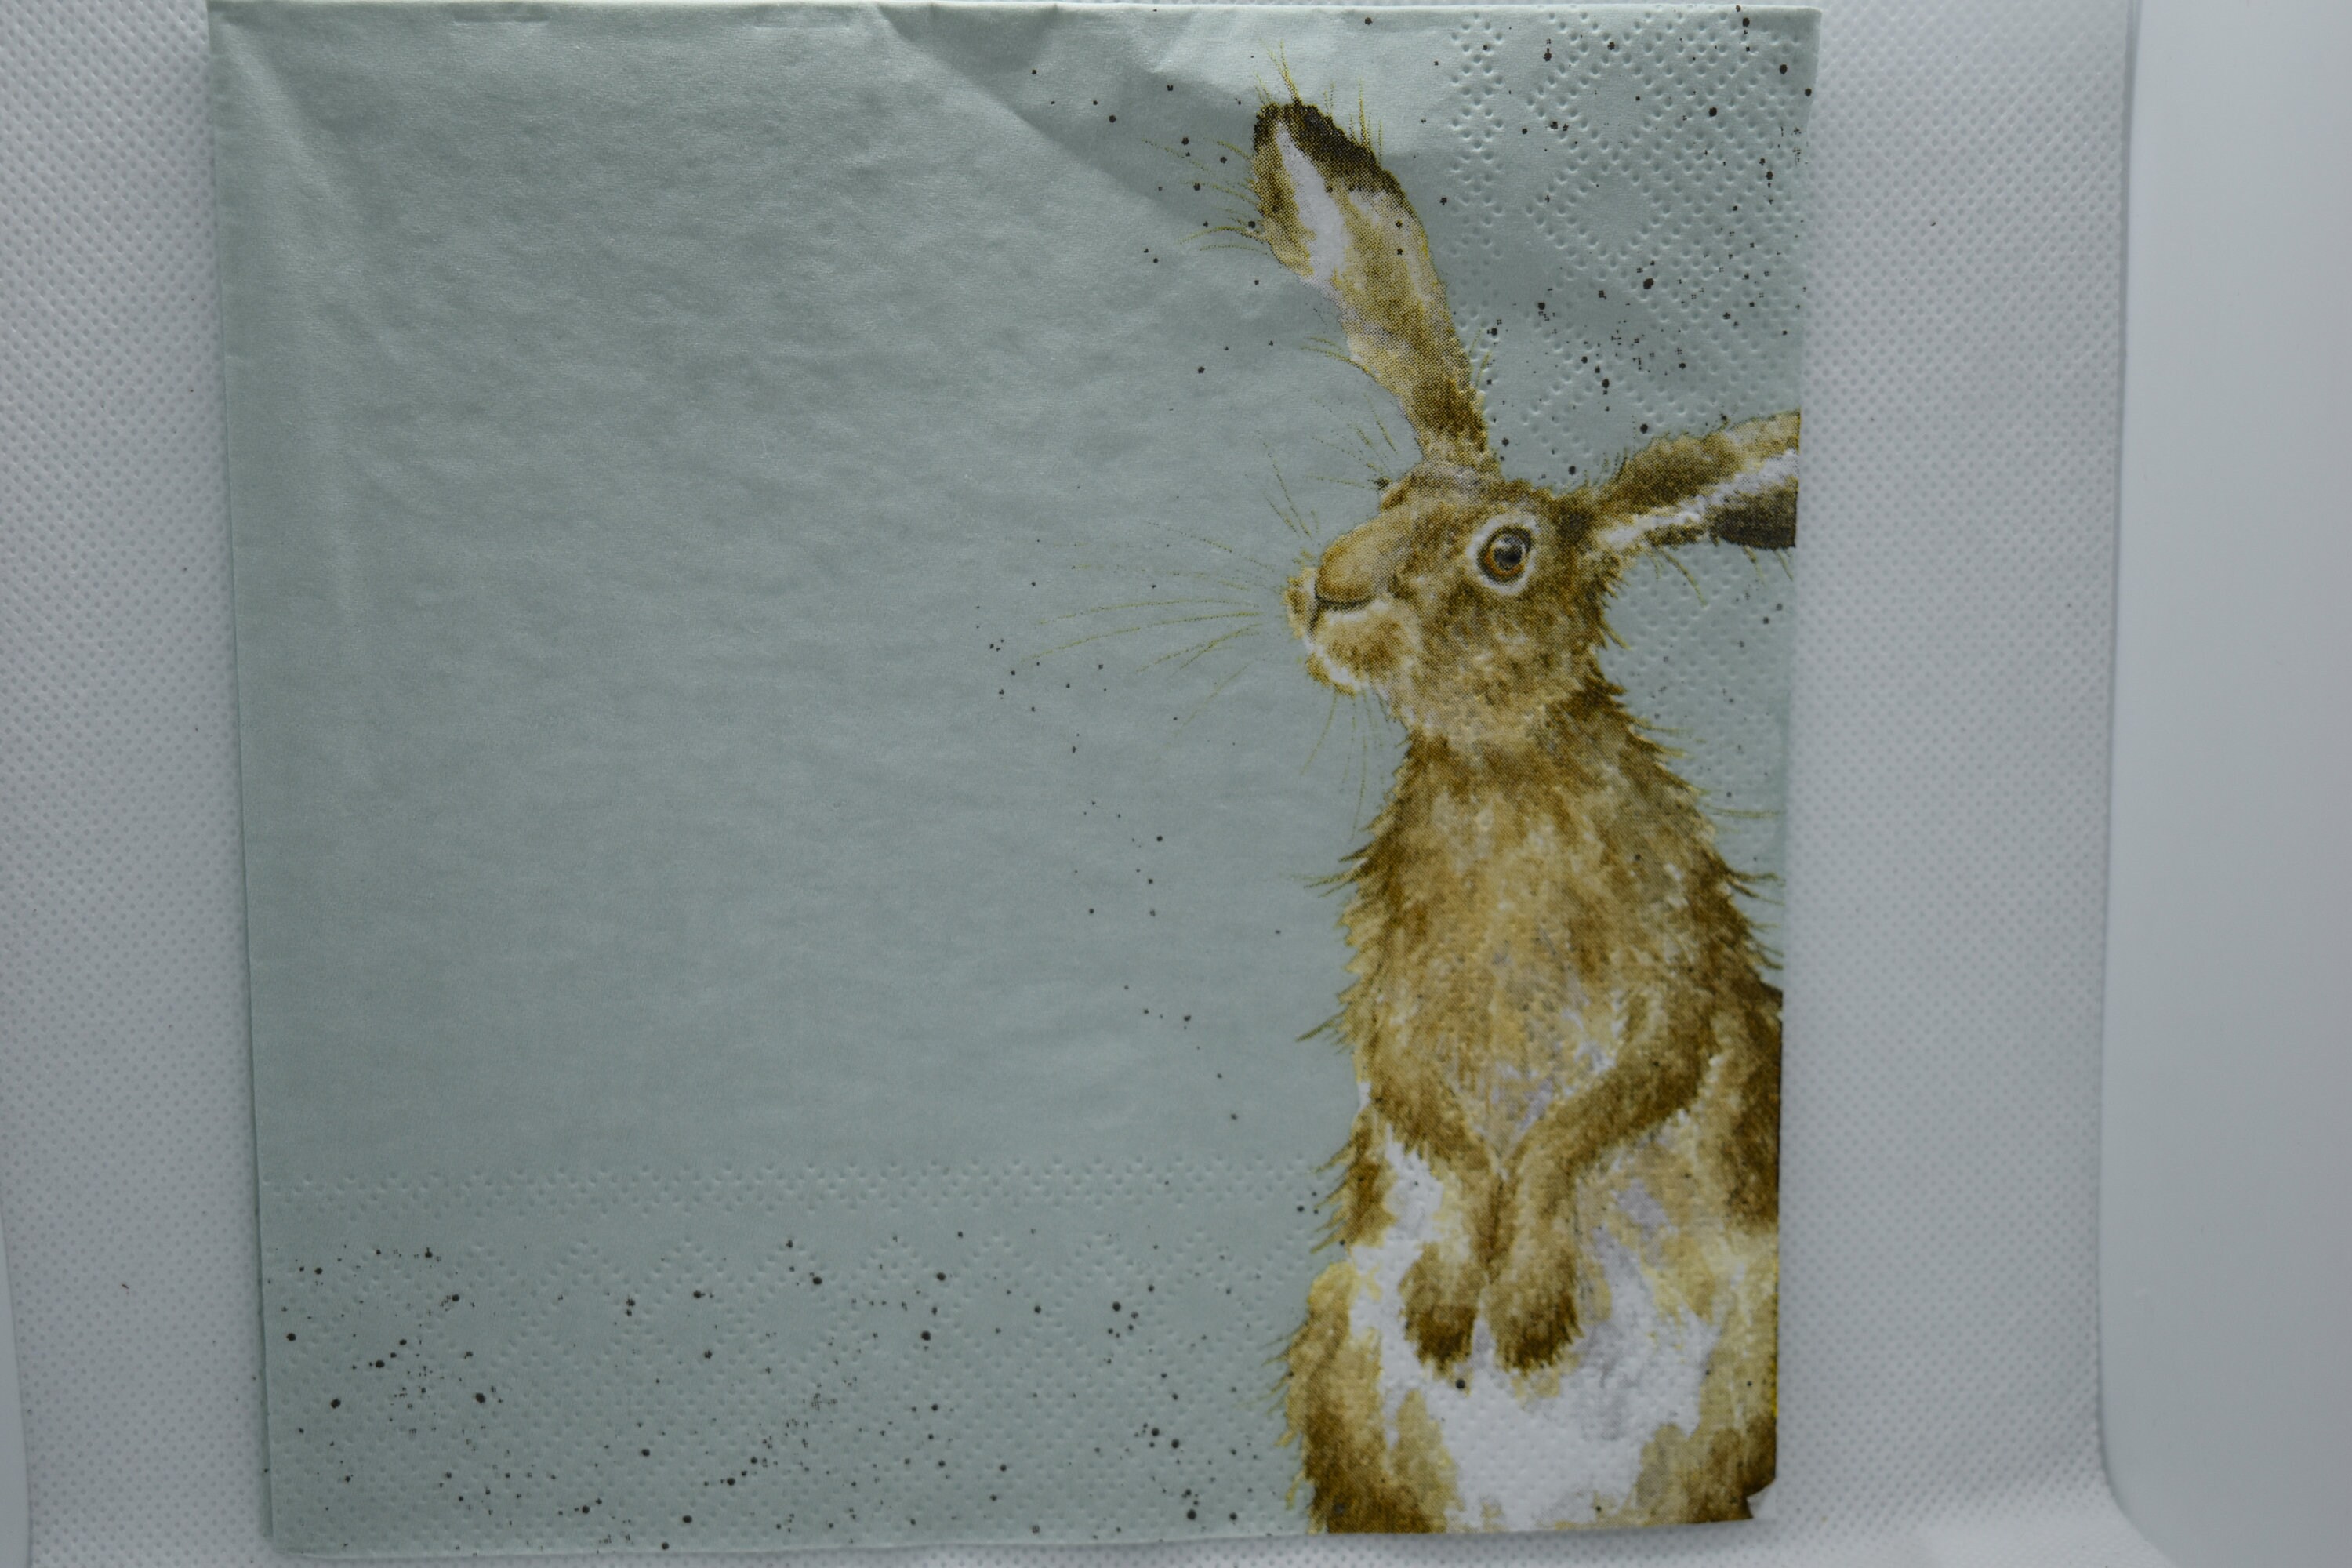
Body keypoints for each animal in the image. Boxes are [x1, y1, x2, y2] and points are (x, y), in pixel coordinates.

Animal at [1243, 100, 1795, 1532]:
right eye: (1389, 494)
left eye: (1505, 557)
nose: (1330, 592)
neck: (1500, 769)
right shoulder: (1392, 985)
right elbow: (1426, 1112)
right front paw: (1459, 1300)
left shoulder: (1674, 959)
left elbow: (1594, 1115)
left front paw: (1526, 1304)